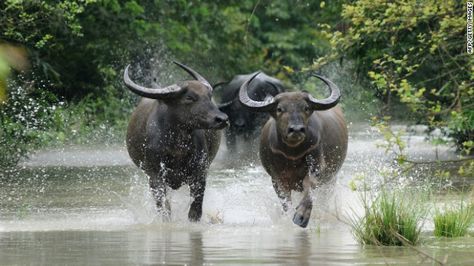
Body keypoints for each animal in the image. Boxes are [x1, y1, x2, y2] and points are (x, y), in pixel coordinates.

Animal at [123, 61, 229, 221]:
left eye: (209, 96)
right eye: (189, 97)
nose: (222, 119)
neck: (177, 147)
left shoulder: (200, 173)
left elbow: (195, 209)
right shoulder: (154, 175)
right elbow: (164, 207)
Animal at [239, 73, 346, 229]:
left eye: (306, 108)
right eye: (279, 109)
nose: (296, 129)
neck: (292, 153)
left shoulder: (317, 167)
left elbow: (309, 189)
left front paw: (301, 216)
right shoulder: (276, 178)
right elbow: (285, 201)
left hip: (331, 179)